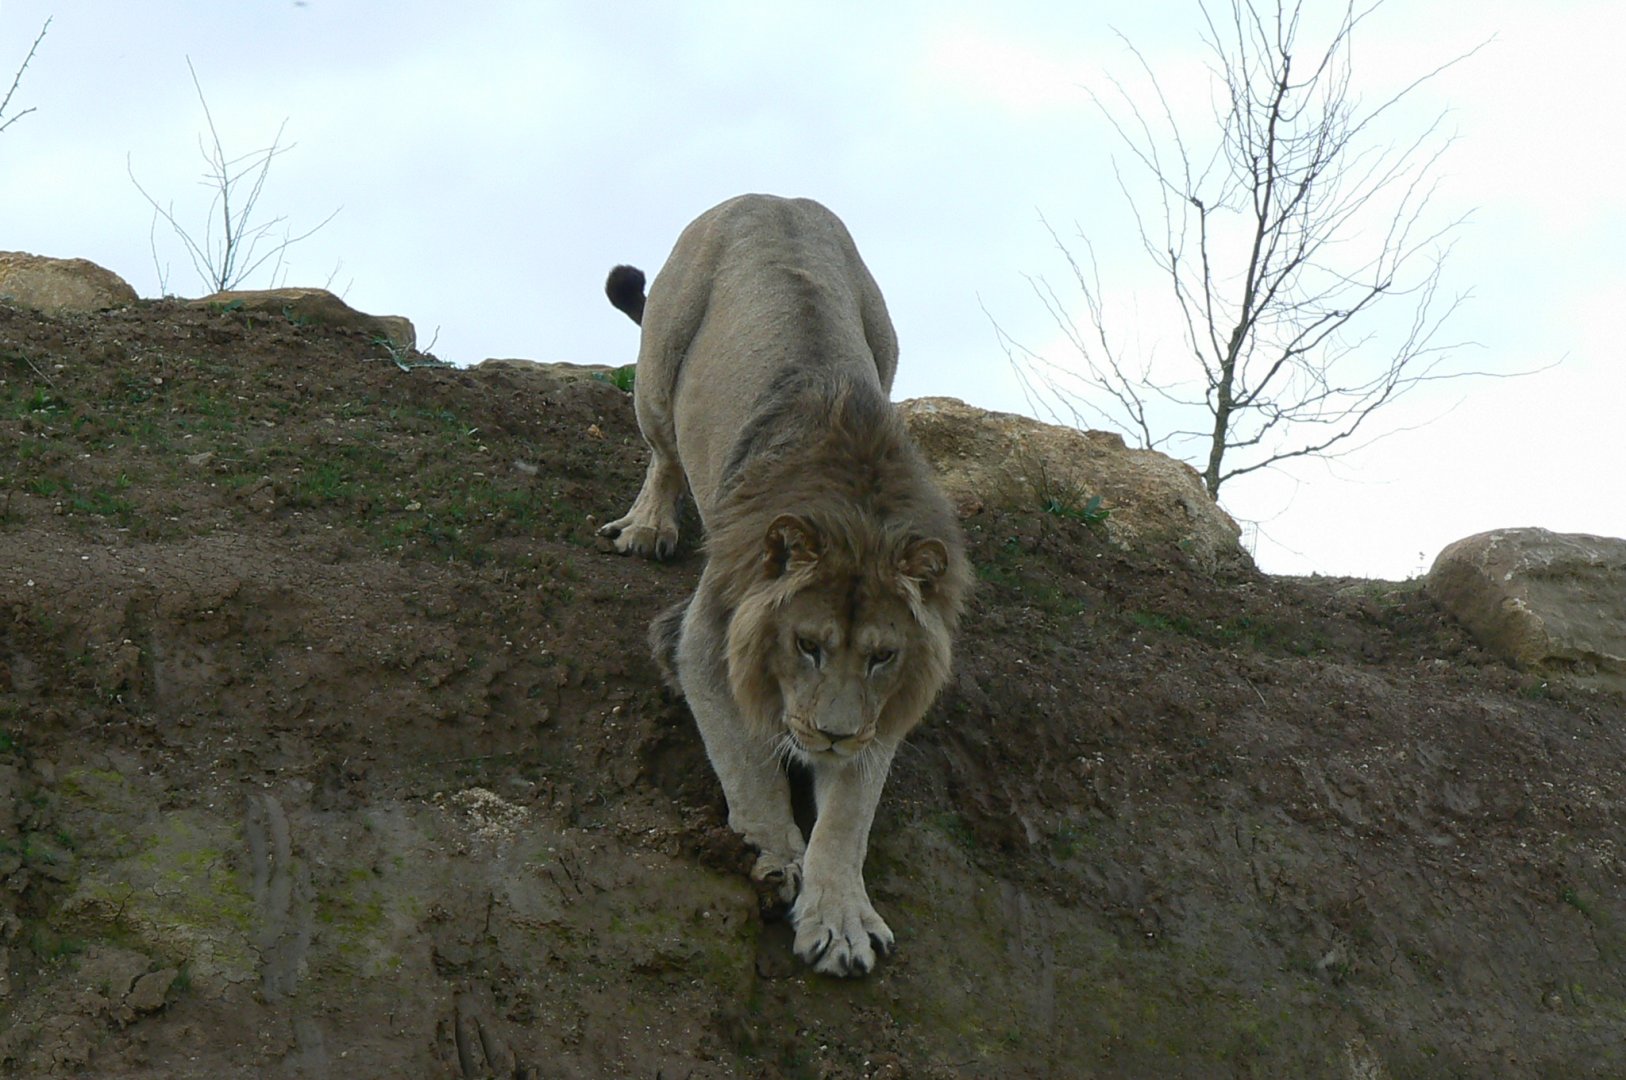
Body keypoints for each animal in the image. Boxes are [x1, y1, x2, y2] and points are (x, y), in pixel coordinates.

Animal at [599, 194, 970, 976]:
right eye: (807, 644)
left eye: (882, 656)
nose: (831, 735)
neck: (859, 510)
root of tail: (769, 195)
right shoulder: (706, 641)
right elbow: (747, 764)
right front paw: (777, 857)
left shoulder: (882, 711)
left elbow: (850, 815)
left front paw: (840, 917)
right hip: (658, 366)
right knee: (663, 453)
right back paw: (648, 524)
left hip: (887, 339)